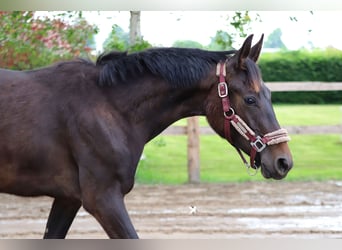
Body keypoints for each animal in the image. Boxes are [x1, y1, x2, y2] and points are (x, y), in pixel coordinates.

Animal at [0, 33, 292, 238]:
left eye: (269, 94)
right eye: (251, 99)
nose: (283, 161)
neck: (107, 105)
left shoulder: (68, 198)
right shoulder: (103, 199)